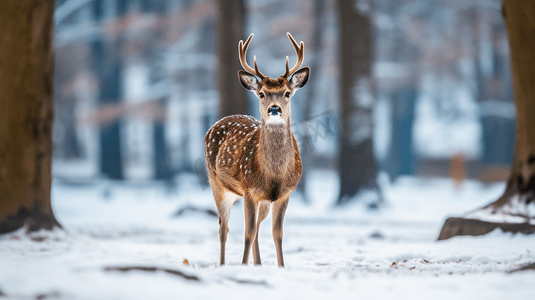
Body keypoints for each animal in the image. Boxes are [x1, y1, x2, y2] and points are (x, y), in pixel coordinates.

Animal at [203, 32, 310, 268]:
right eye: (261, 94)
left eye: (287, 93)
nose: (274, 109)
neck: (274, 175)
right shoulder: (249, 190)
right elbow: (247, 233)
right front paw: (243, 266)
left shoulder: (284, 193)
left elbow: (277, 233)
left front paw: (281, 267)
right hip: (217, 184)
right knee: (224, 228)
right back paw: (223, 264)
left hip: (259, 201)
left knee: (256, 229)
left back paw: (258, 264)